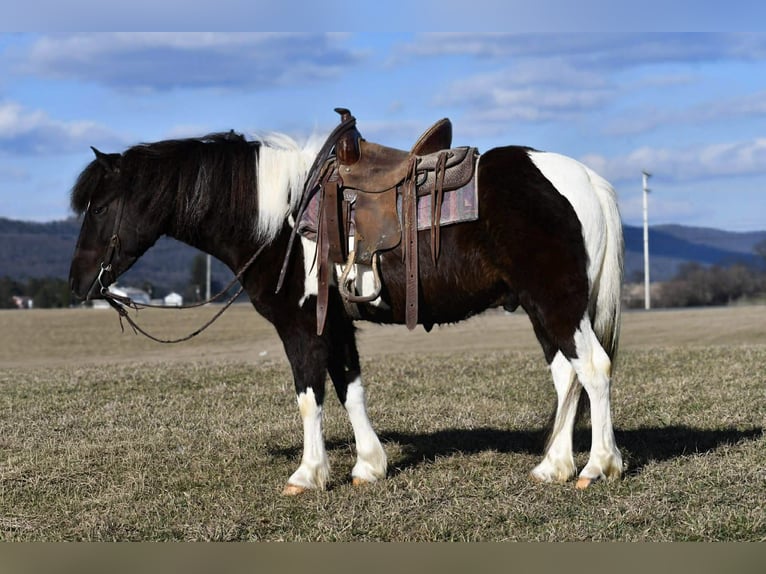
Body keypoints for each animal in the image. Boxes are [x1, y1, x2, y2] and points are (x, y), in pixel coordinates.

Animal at [68, 117, 624, 495]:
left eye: (100, 206)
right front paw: (369, 466)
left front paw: (308, 473)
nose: (77, 282)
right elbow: (349, 388)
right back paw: (553, 466)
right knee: (566, 375)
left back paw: (599, 465)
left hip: (555, 301)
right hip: (540, 307)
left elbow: (309, 394)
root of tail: (585, 179)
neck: (283, 218)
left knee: (593, 368)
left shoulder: (300, 325)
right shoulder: (335, 324)